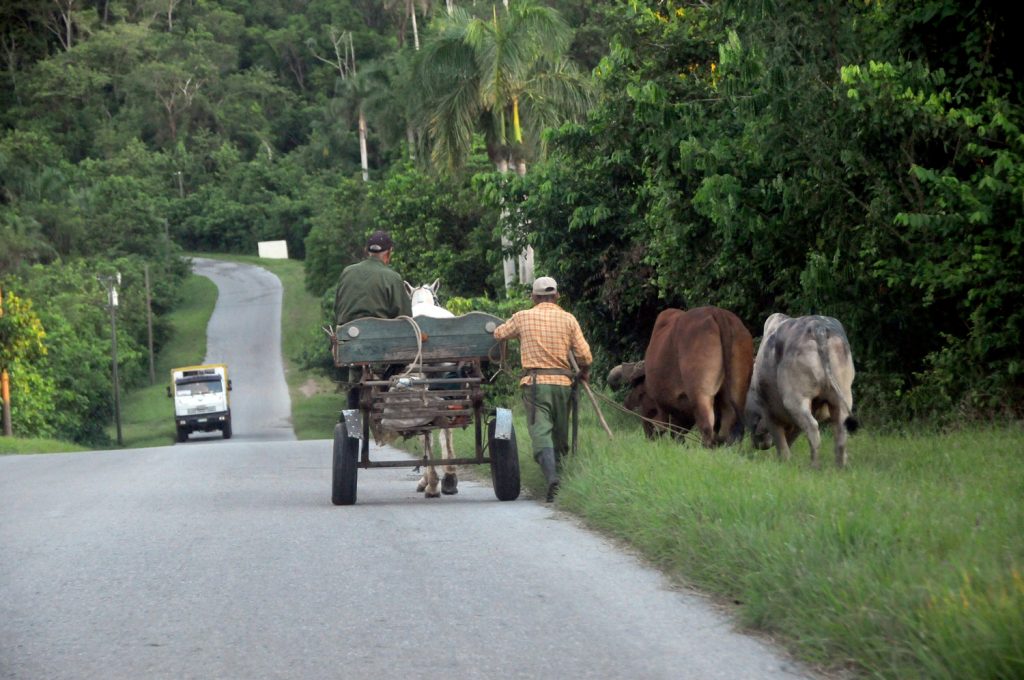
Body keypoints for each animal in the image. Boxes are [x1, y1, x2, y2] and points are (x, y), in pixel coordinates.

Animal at [607, 307, 754, 447]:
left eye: (641, 395)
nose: (648, 435)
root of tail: (717, 312)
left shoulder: (667, 408)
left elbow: (674, 432)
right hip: (736, 393)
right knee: (728, 430)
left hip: (700, 394)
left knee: (707, 428)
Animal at [744, 313, 859, 468]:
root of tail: (818, 327)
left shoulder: (769, 413)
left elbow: (781, 443)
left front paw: (784, 462)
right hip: (841, 397)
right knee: (840, 431)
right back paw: (840, 467)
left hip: (795, 399)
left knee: (812, 428)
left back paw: (814, 466)